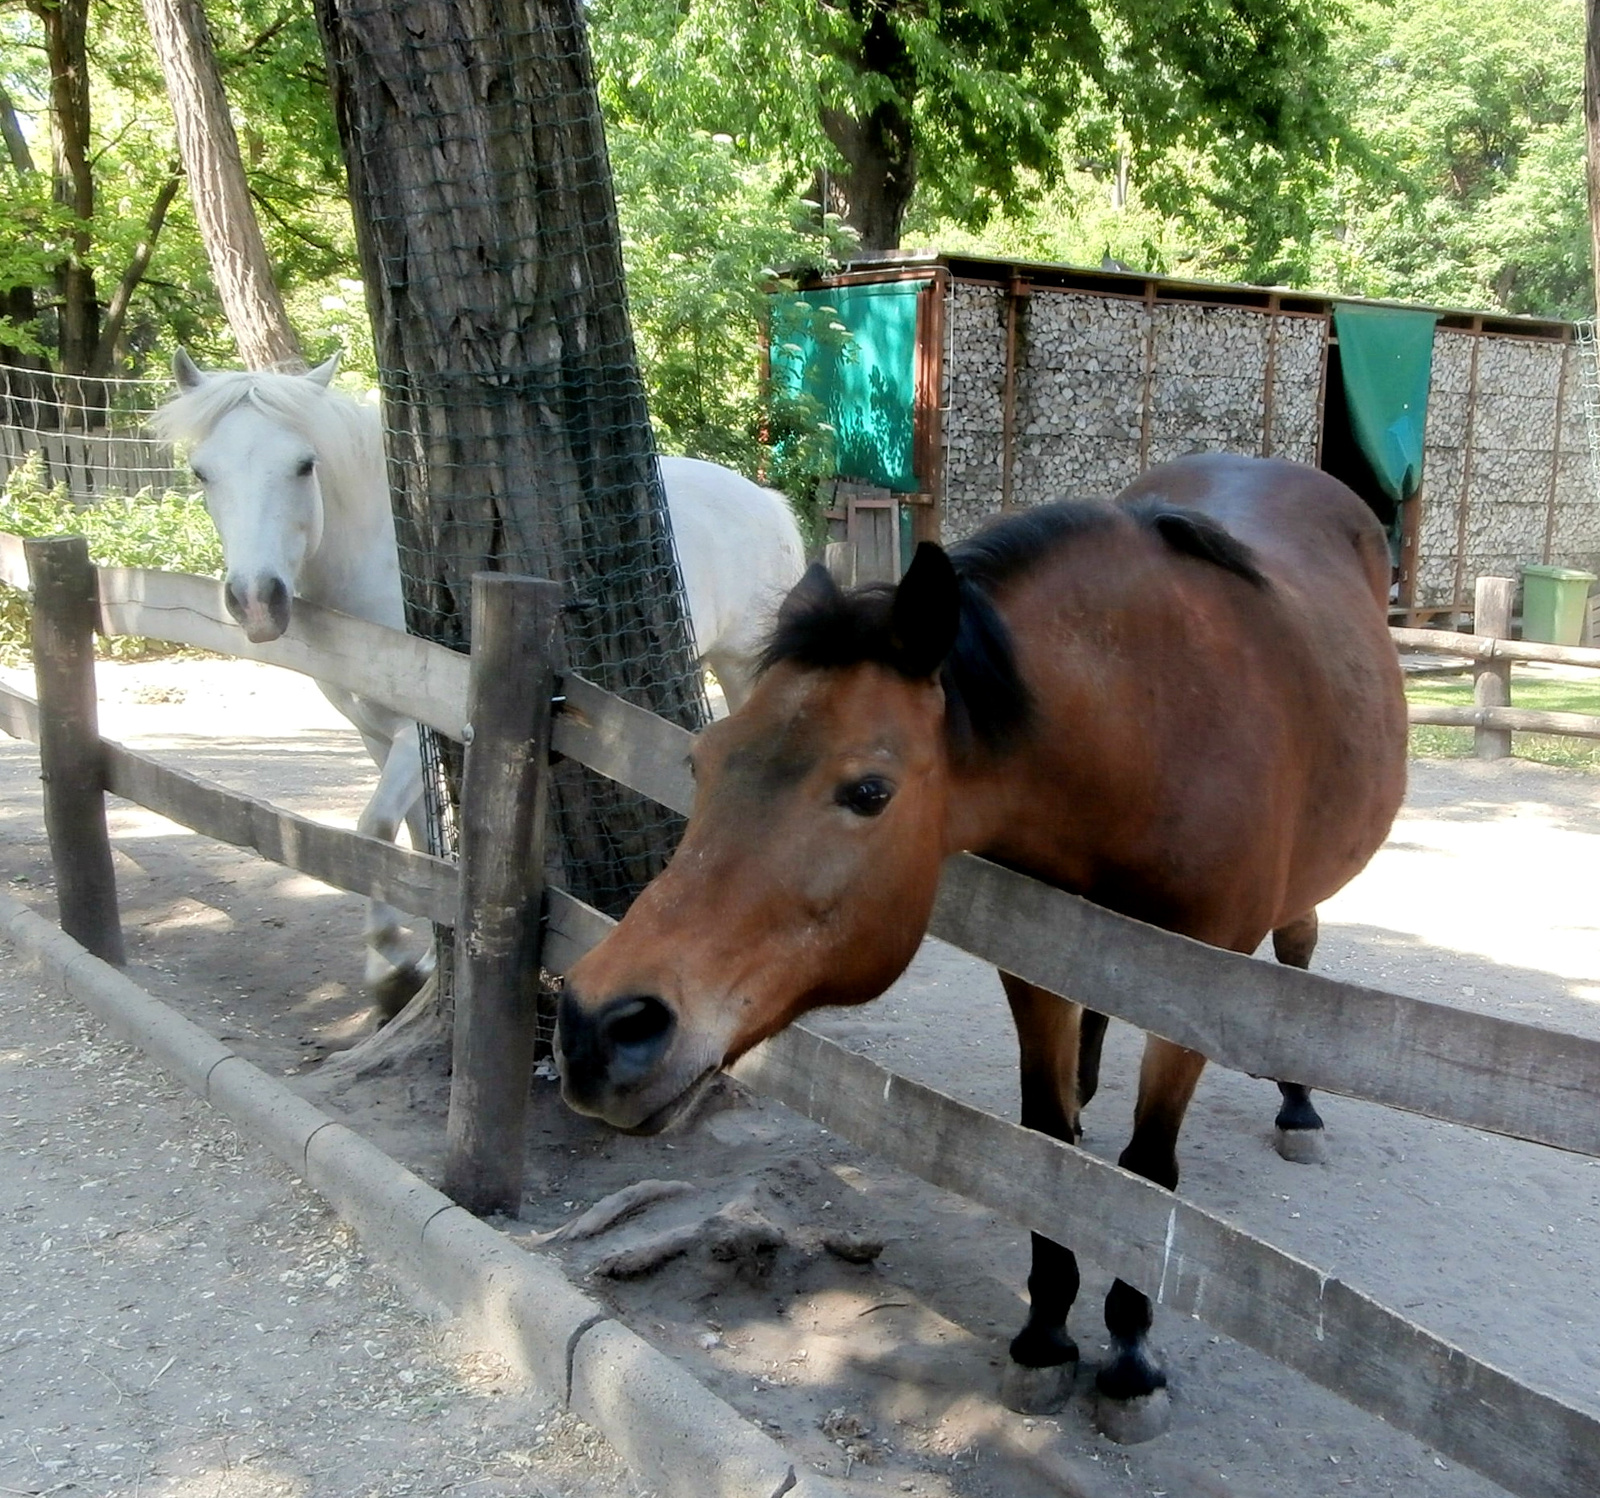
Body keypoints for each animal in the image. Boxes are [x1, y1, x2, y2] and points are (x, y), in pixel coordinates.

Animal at [150, 347, 800, 1011]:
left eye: (304, 465)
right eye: (203, 473)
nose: (257, 602)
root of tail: (763, 500)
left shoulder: (421, 730)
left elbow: (373, 826)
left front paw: (390, 963)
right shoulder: (374, 734)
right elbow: (407, 838)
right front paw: (414, 956)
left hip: (744, 668)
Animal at [556, 457, 1408, 1440]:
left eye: (869, 791)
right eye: (703, 760)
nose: (595, 1027)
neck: (1150, 726)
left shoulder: (1197, 989)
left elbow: (1148, 1174)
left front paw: (1130, 1357)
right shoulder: (1035, 962)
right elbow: (1047, 1143)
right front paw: (1046, 1334)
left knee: (1298, 958)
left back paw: (1299, 1107)